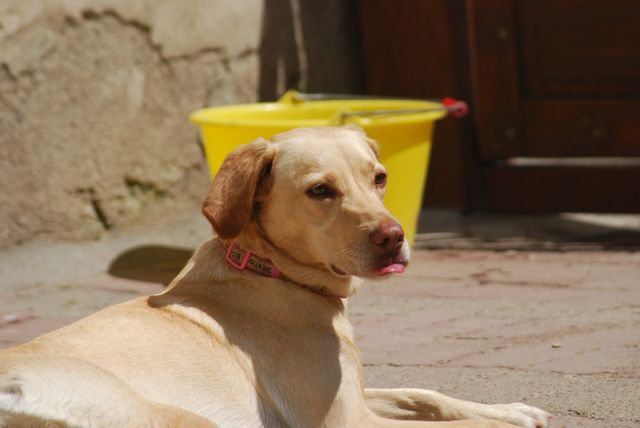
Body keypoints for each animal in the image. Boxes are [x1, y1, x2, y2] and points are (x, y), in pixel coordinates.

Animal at [0, 128, 552, 428]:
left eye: (380, 177)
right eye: (320, 190)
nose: (394, 237)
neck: (270, 272)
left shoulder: (355, 397)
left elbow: (427, 395)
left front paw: (512, 410)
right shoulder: (344, 420)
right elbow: (452, 420)